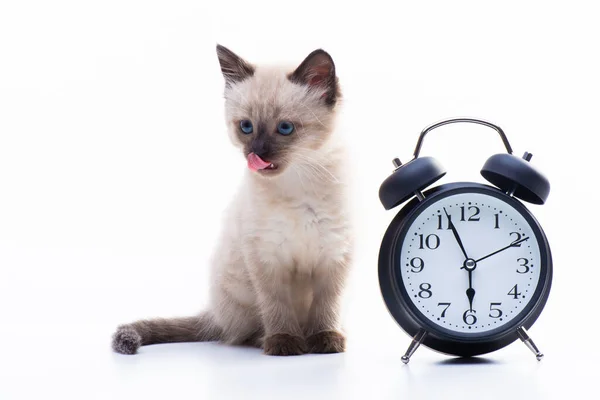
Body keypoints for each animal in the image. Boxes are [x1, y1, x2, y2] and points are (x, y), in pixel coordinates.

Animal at [112, 44, 352, 356]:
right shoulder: (266, 259)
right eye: (246, 127)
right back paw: (269, 339)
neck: (298, 182)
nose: (256, 152)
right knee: (240, 333)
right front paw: (284, 342)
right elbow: (276, 306)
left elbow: (327, 307)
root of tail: (214, 313)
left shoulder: (333, 256)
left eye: (285, 128)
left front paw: (326, 340)